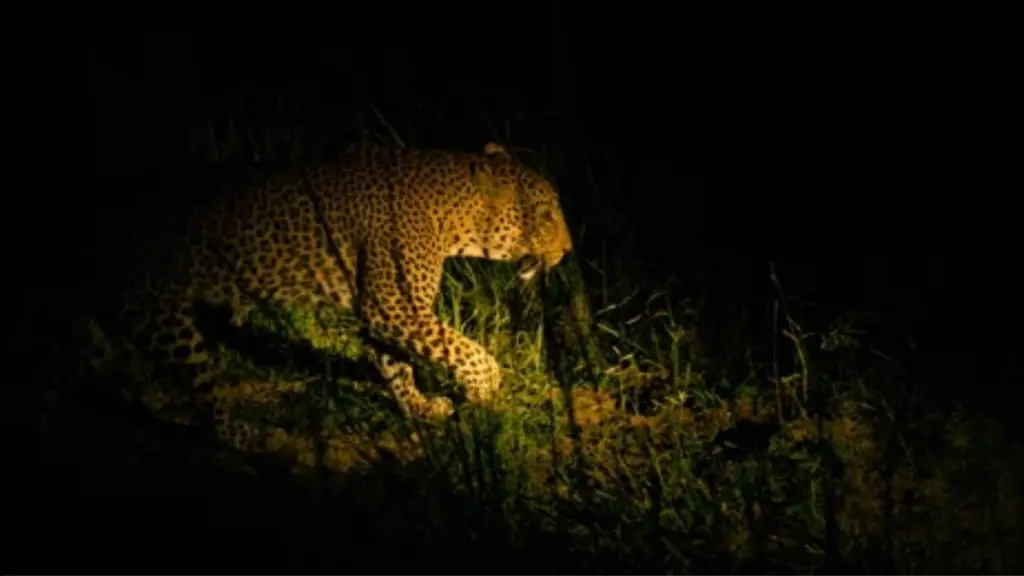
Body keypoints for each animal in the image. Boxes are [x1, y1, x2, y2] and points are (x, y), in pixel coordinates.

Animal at [105, 141, 573, 444]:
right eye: (547, 214)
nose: (569, 250)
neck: (452, 217)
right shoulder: (392, 306)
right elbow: (466, 350)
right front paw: (485, 387)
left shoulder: (386, 310)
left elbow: (396, 365)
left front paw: (419, 408)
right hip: (160, 315)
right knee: (201, 388)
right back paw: (242, 434)